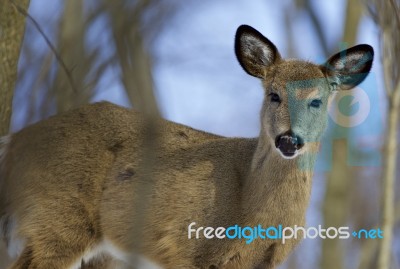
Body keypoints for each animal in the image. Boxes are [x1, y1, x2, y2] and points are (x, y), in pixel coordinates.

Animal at [1, 24, 374, 266]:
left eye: (317, 101)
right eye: (274, 95)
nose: (288, 139)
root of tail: (16, 140)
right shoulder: (189, 245)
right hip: (59, 219)